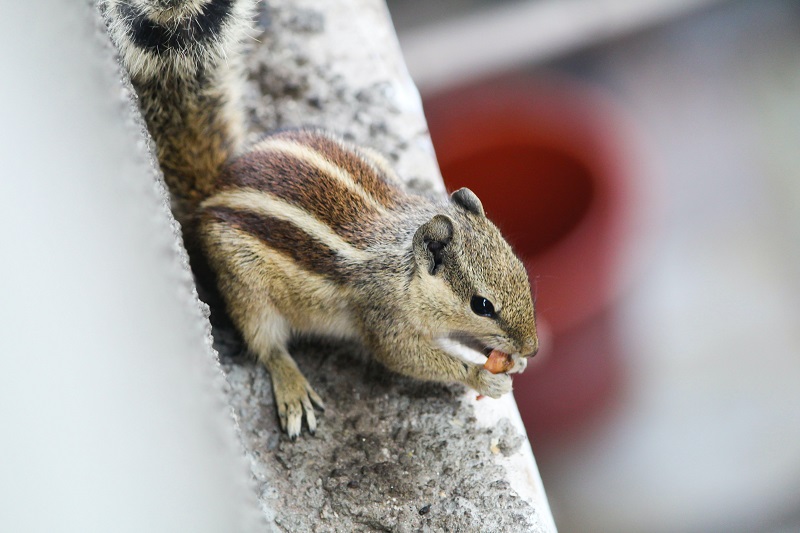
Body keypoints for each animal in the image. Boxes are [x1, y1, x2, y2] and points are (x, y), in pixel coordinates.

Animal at [100, 0, 536, 436]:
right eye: (482, 305)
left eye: (521, 271)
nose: (532, 347)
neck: (405, 267)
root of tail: (213, 190)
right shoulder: (384, 318)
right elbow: (405, 356)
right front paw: (482, 376)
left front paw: (513, 361)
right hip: (246, 287)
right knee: (266, 345)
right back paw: (292, 387)